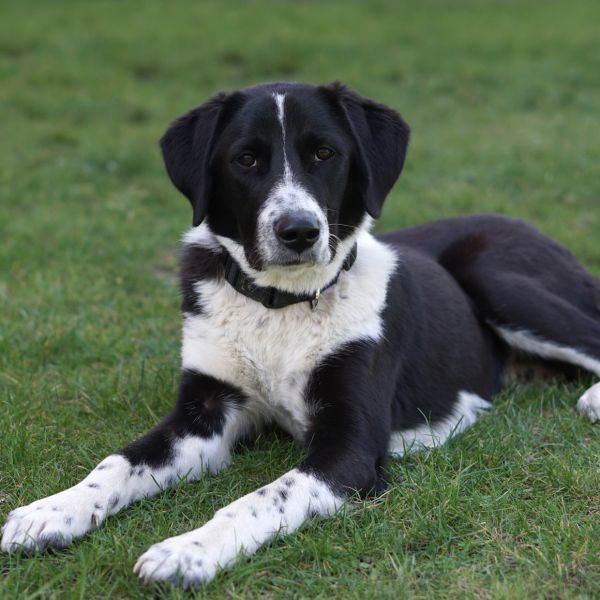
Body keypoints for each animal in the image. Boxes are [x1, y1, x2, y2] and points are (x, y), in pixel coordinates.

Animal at [3, 82, 600, 588]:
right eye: (246, 159)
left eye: (325, 154)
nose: (299, 232)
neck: (280, 305)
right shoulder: (203, 413)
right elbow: (118, 463)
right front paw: (48, 512)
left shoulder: (349, 448)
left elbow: (264, 496)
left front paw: (187, 550)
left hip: (498, 278)